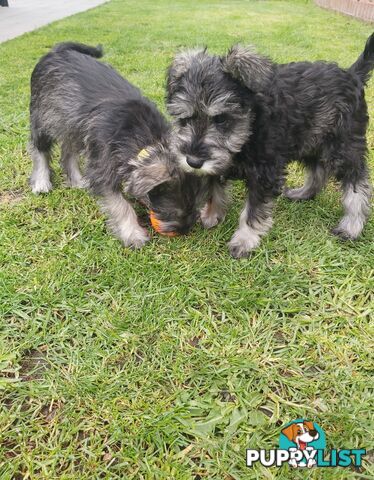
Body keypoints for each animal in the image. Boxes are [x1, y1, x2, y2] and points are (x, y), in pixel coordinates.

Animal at [29, 42, 205, 248]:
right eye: (174, 212)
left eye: (195, 206)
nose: (185, 230)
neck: (142, 136)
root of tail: (56, 50)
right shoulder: (102, 168)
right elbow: (121, 205)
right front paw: (133, 233)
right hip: (43, 116)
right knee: (39, 149)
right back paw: (41, 182)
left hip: (70, 123)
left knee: (68, 151)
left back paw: (77, 180)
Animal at [167, 33, 374, 256]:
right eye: (184, 118)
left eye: (221, 119)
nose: (193, 161)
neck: (250, 127)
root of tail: (353, 75)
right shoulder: (217, 166)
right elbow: (214, 191)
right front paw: (211, 216)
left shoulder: (265, 174)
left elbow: (253, 211)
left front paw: (244, 240)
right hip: (311, 140)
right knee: (317, 172)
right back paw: (302, 194)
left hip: (344, 148)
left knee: (358, 185)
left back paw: (351, 226)